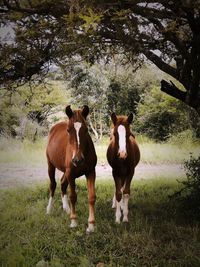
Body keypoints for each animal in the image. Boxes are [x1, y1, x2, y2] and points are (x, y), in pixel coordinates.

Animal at [46, 105, 97, 233]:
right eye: (68, 130)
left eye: (86, 129)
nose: (77, 160)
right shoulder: (71, 174)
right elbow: (73, 197)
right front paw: (74, 222)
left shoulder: (90, 172)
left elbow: (91, 197)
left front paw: (91, 225)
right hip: (51, 165)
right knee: (53, 185)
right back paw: (49, 209)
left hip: (65, 171)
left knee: (63, 184)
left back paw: (66, 209)